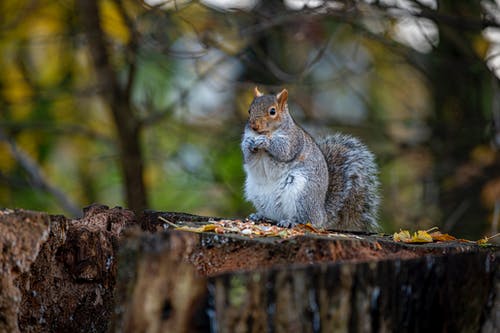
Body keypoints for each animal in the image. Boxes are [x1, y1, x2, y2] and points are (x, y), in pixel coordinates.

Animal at [241, 87, 378, 230]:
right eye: (249, 110)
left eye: (272, 111)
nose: (254, 125)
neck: (267, 132)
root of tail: (322, 215)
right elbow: (248, 157)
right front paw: (248, 143)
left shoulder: (293, 141)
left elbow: (284, 151)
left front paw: (265, 141)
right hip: (257, 193)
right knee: (273, 215)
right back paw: (259, 215)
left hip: (301, 194)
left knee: (306, 219)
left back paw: (291, 221)